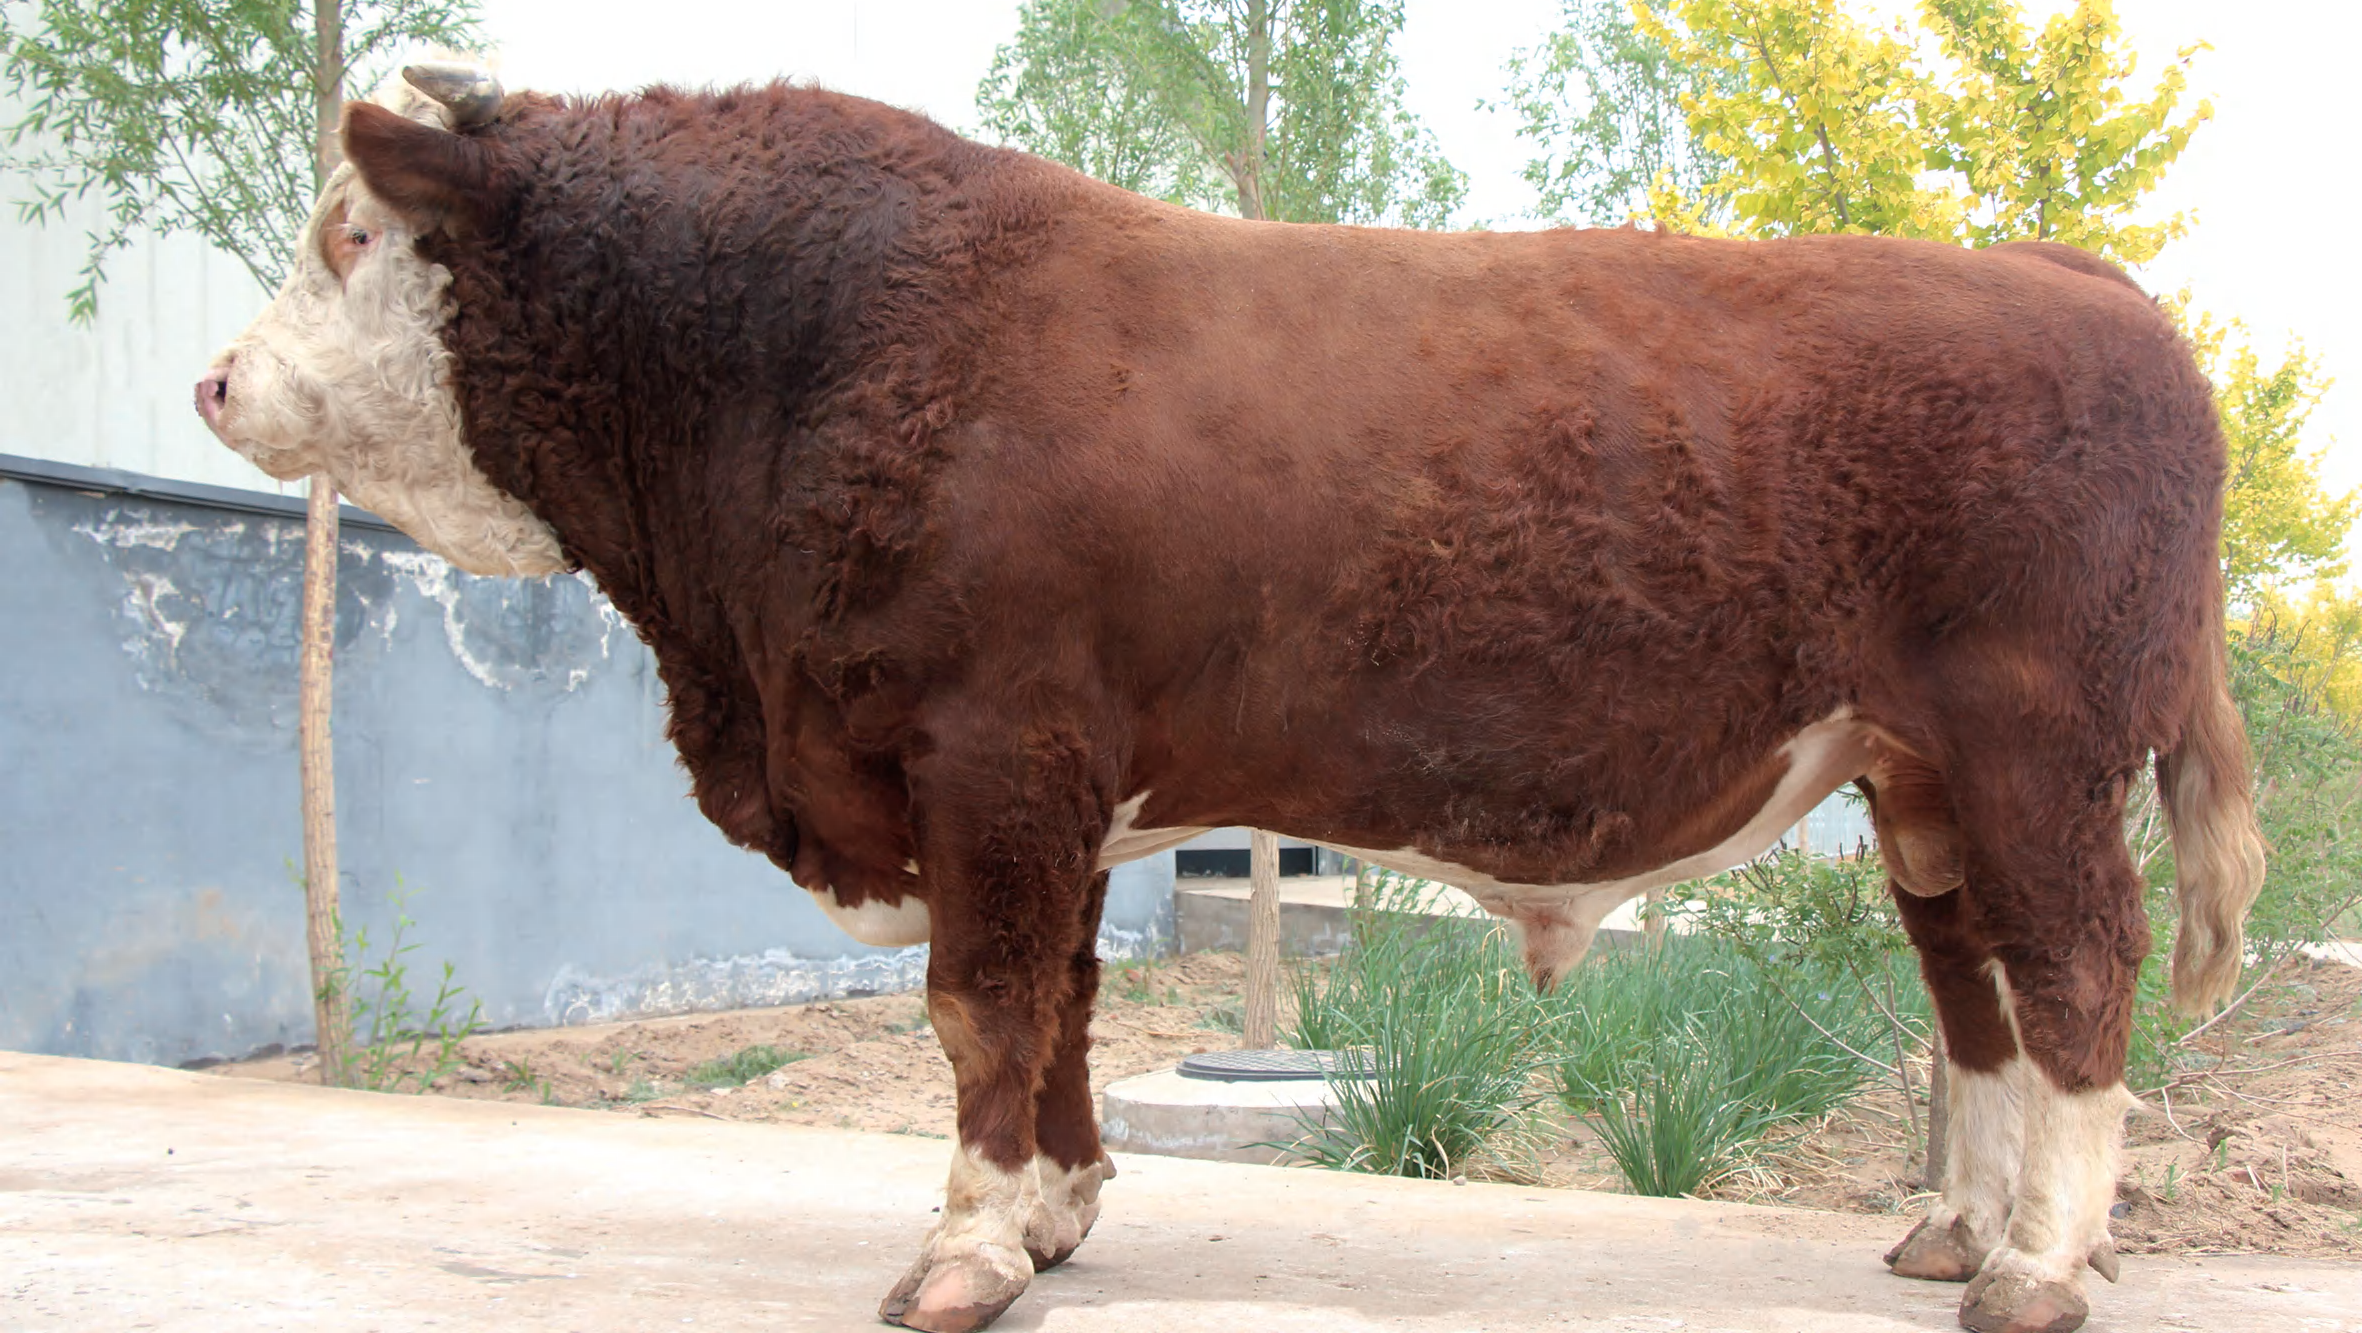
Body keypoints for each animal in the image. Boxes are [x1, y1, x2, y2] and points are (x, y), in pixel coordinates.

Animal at [195, 62, 2263, 1333]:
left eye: (346, 234)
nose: (216, 382)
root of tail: (2067, 277)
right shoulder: (1052, 783)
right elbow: (1060, 1006)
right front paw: (1053, 1212)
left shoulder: (989, 749)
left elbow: (980, 1002)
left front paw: (962, 1252)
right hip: (1917, 779)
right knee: (1975, 996)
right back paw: (1956, 1227)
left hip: (2030, 746)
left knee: (2075, 973)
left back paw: (2039, 1265)